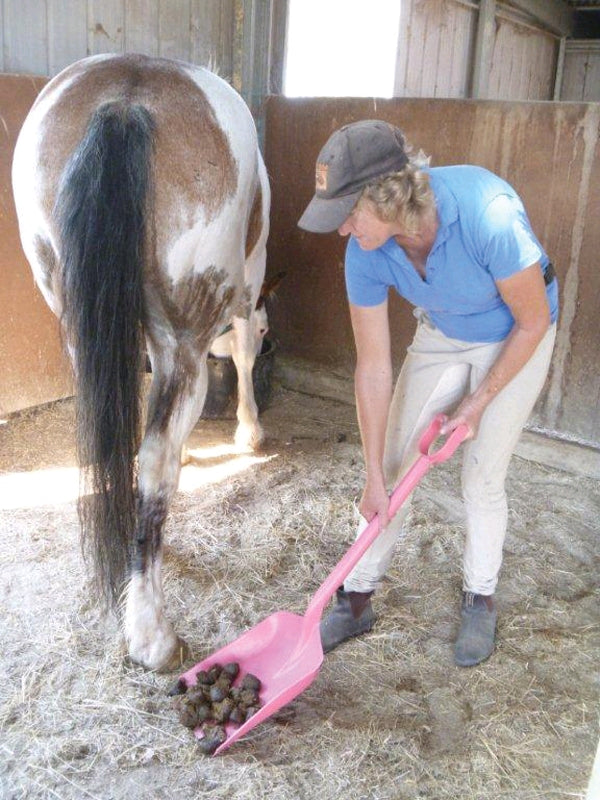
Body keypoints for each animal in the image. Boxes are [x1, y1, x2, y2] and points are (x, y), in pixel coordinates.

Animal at [12, 53, 270, 672]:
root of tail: (126, 99)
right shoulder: (247, 290)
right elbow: (245, 353)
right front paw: (249, 432)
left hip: (79, 323)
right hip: (185, 341)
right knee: (154, 461)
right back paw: (151, 635)